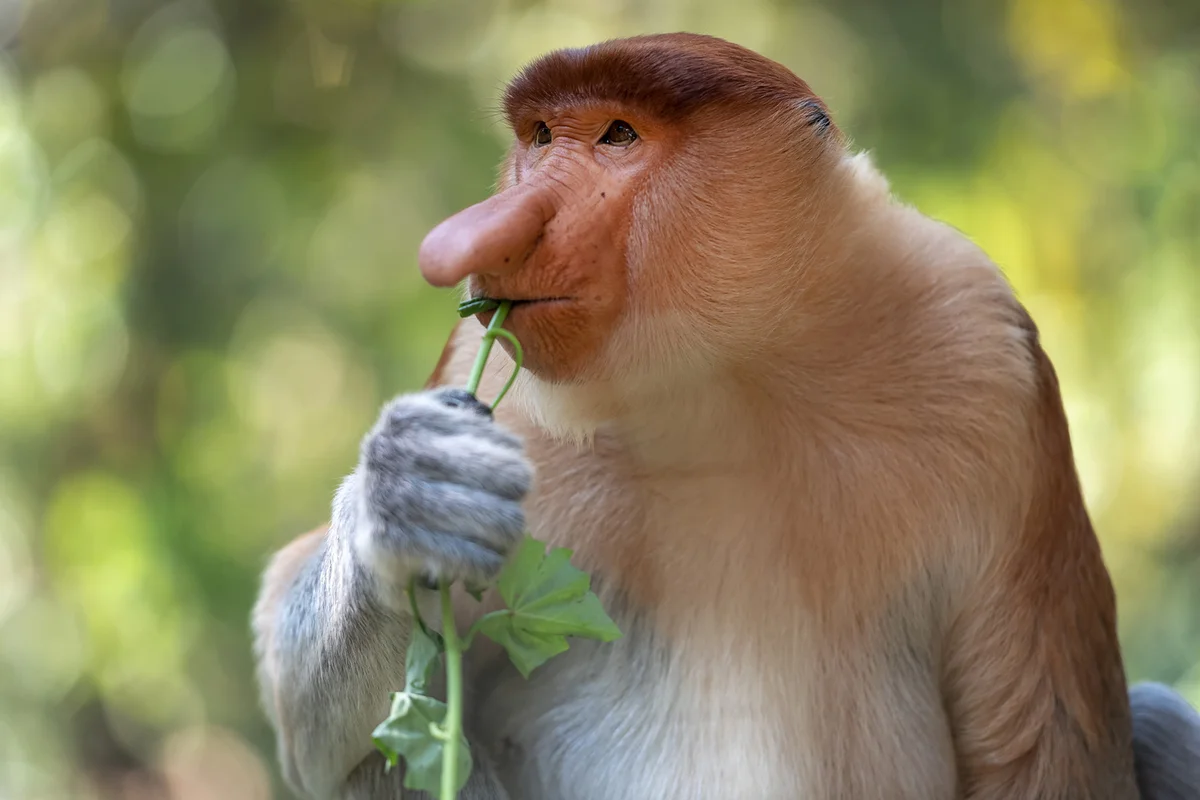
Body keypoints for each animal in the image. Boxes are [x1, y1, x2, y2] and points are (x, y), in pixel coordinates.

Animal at [252, 32, 1200, 800]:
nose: (473, 240)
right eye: (542, 138)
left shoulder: (985, 354)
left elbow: (1040, 747)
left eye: (618, 135)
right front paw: (410, 490)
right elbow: (313, 730)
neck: (723, 383)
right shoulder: (496, 390)